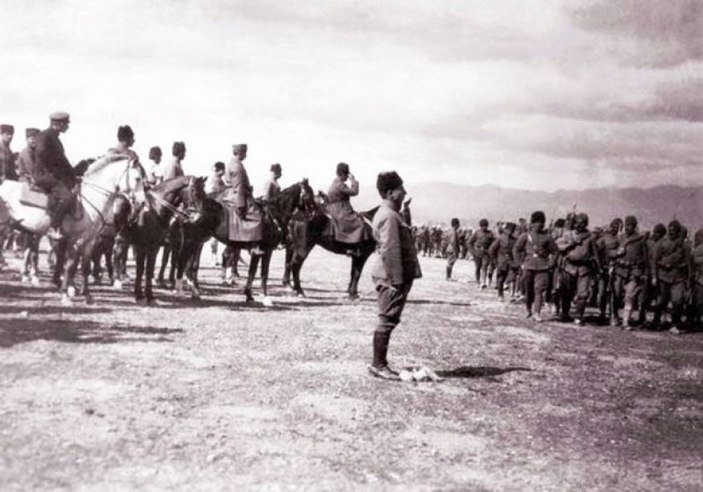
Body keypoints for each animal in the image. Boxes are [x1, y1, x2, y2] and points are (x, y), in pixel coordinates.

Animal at [0, 156, 142, 304]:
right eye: (138, 178)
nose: (141, 203)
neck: (89, 201)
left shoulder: (89, 241)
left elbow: (85, 267)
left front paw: (87, 295)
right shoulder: (75, 240)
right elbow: (70, 266)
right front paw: (66, 293)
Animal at [179, 177, 316, 304]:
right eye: (310, 194)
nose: (314, 212)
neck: (272, 217)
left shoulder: (259, 251)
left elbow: (253, 272)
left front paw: (249, 295)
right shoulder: (266, 250)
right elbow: (263, 273)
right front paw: (265, 297)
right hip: (195, 240)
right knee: (189, 262)